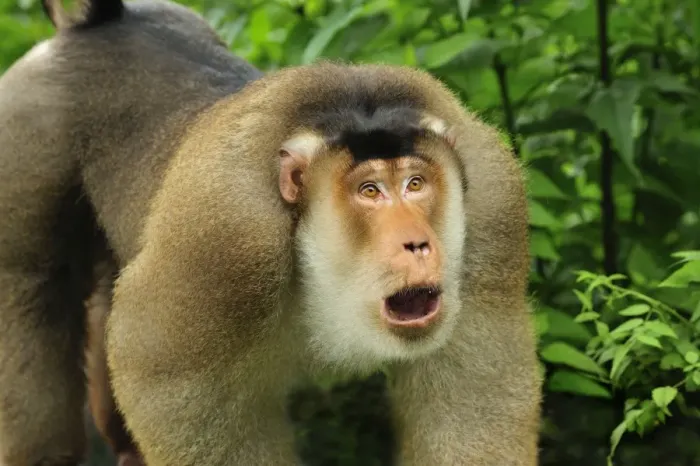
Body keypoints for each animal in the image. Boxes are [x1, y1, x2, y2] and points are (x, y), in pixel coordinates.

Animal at [0, 0, 542, 464]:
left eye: (415, 184)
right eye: (369, 191)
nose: (418, 243)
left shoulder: (493, 202)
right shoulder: (227, 236)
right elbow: (156, 372)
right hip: (28, 126)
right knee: (31, 289)